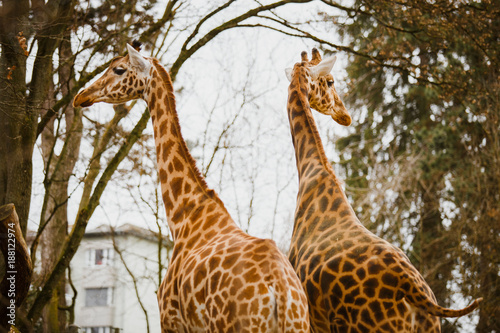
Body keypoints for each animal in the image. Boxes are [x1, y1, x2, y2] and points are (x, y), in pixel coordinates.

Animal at [73, 43, 310, 330]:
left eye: (118, 69)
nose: (80, 96)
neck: (183, 215)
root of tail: (281, 292)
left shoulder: (170, 320)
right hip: (300, 324)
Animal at [284, 47, 482, 332]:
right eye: (330, 81)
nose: (345, 116)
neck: (313, 171)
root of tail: (415, 292)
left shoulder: (312, 318)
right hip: (428, 326)